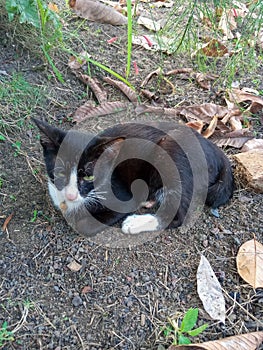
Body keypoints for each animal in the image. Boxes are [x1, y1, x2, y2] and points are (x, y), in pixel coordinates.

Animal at [32, 117, 235, 235]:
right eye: (59, 172)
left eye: (89, 177)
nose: (71, 195)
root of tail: (216, 150)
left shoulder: (122, 193)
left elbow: (84, 225)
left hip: (171, 153)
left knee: (178, 215)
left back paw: (136, 222)